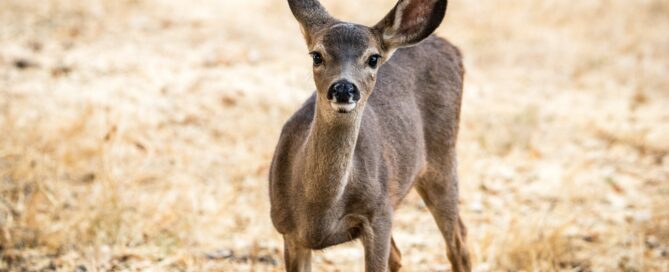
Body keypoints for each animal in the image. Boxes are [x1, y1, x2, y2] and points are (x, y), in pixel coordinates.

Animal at [268, 0, 472, 270]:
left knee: (459, 244)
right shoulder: (288, 232)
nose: (344, 88)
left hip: (442, 160)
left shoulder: (378, 216)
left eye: (373, 58)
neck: (317, 212)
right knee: (400, 254)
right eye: (316, 55)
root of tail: (452, 48)